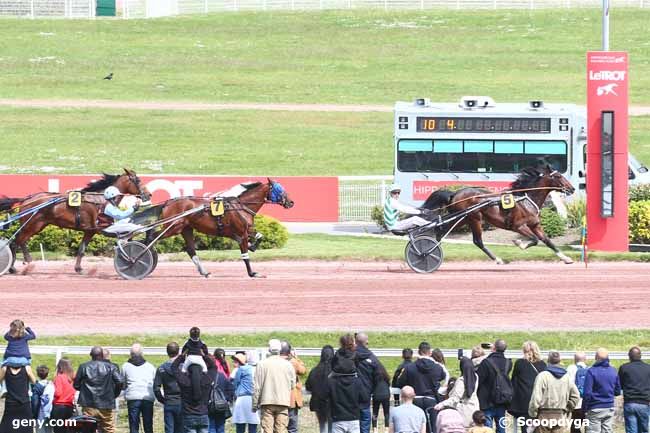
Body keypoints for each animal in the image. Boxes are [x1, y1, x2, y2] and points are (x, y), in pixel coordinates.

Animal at [3, 169, 149, 274]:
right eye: (137, 180)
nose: (148, 195)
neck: (100, 199)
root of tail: (27, 199)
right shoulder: (96, 228)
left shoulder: (88, 230)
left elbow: (81, 249)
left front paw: (78, 268)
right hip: (32, 225)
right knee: (16, 243)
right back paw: (16, 267)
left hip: (36, 226)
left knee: (19, 242)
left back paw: (23, 263)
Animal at [148, 178, 292, 276]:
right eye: (279, 189)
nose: (291, 202)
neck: (241, 206)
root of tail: (168, 203)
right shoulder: (241, 234)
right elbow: (245, 255)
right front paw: (252, 273)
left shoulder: (246, 230)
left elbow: (260, 236)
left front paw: (253, 246)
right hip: (174, 227)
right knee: (152, 237)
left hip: (186, 229)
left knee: (191, 250)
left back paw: (204, 272)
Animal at [422, 165, 576, 264]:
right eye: (558, 176)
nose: (572, 188)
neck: (526, 199)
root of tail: (455, 193)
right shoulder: (518, 226)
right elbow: (534, 239)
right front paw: (519, 243)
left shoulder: (535, 225)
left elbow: (547, 241)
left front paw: (566, 258)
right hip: (474, 218)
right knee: (477, 240)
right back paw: (497, 259)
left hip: (464, 219)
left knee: (443, 230)